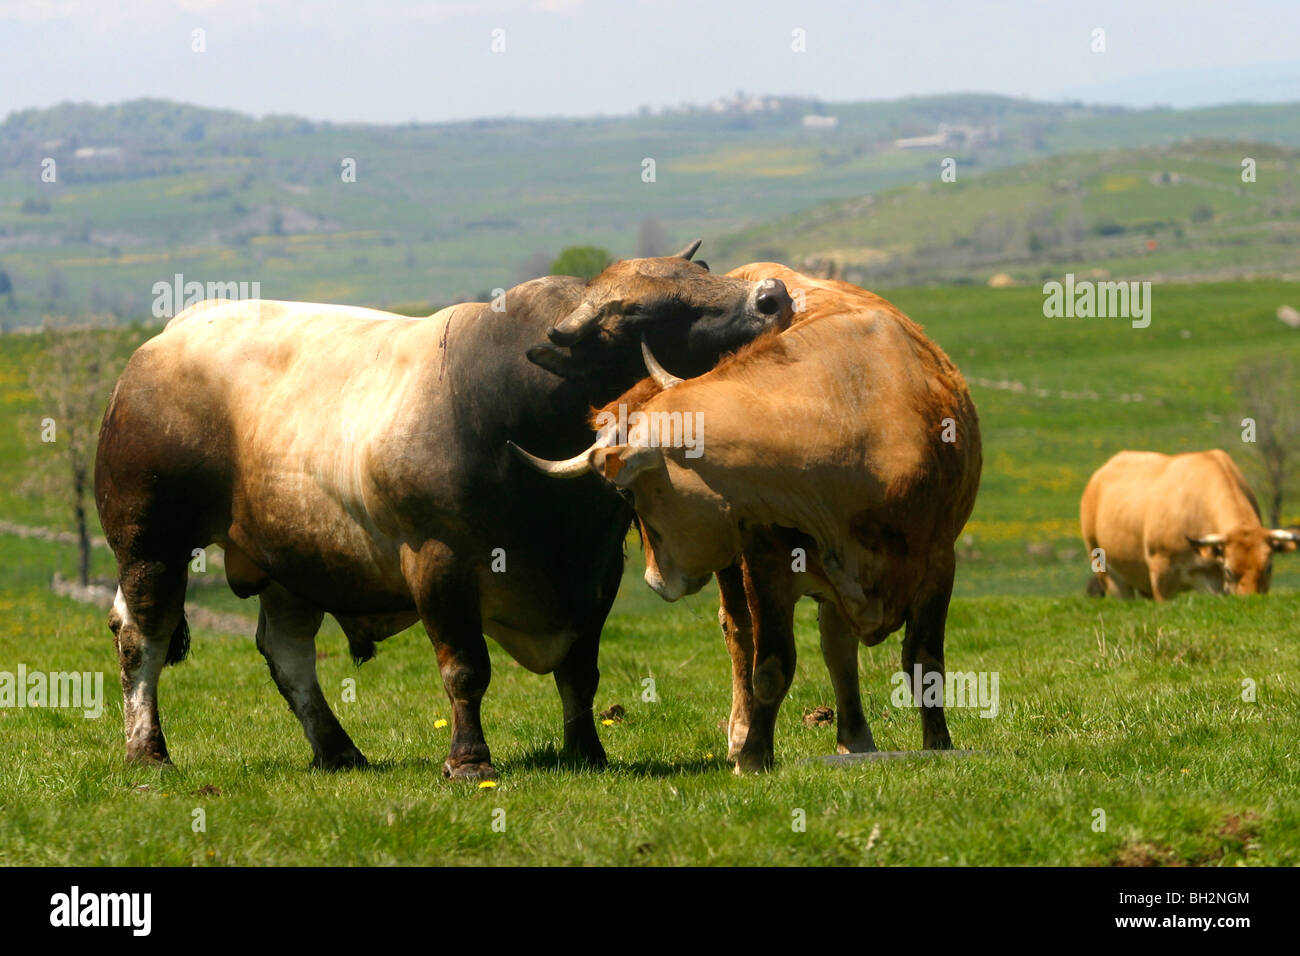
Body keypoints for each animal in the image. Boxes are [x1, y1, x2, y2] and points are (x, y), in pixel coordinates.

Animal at [94, 242, 794, 779]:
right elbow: (465, 670)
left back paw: (338, 750)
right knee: (143, 637)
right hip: (151, 543)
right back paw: (148, 752)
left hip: (291, 558)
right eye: (642, 312)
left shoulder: (597, 570)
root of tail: (165, 340)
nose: (772, 296)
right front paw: (469, 760)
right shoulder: (440, 563)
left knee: (288, 654)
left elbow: (580, 671)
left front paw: (586, 752)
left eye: (703, 274)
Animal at [511, 263, 982, 772]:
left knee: (837, 647)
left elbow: (924, 662)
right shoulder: (764, 563)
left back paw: (855, 739)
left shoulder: (939, 561)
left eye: (626, 491)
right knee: (745, 636)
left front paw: (939, 744)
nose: (655, 579)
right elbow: (770, 665)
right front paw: (754, 754)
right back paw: (745, 733)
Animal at [1080, 449, 1298, 600]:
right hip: (1109, 575)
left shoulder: (1213, 582)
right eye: (1229, 570)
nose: (1250, 600)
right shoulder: (1161, 576)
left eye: (1268, 567)